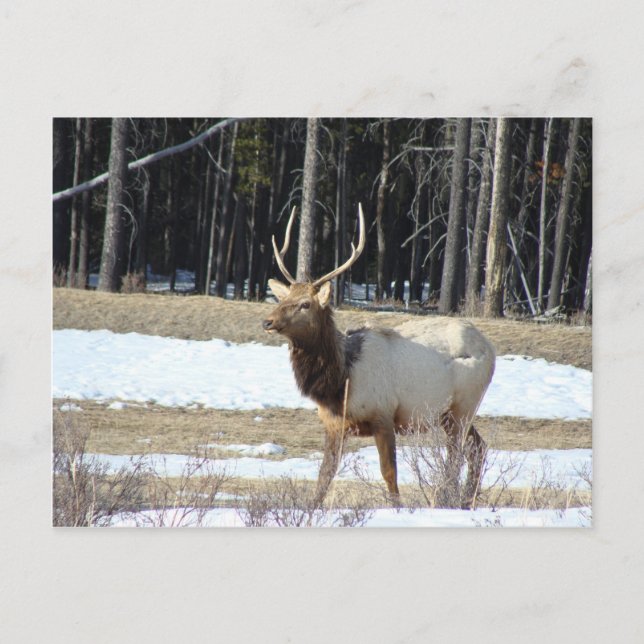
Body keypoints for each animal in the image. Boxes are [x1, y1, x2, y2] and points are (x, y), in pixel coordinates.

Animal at [262, 204, 496, 509]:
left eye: (305, 304)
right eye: (283, 299)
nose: (267, 320)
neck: (340, 383)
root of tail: (490, 349)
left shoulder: (383, 415)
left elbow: (389, 472)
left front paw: (397, 507)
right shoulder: (334, 425)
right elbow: (325, 474)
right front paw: (310, 508)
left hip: (464, 406)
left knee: (456, 456)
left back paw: (447, 499)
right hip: (450, 414)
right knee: (478, 448)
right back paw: (466, 500)